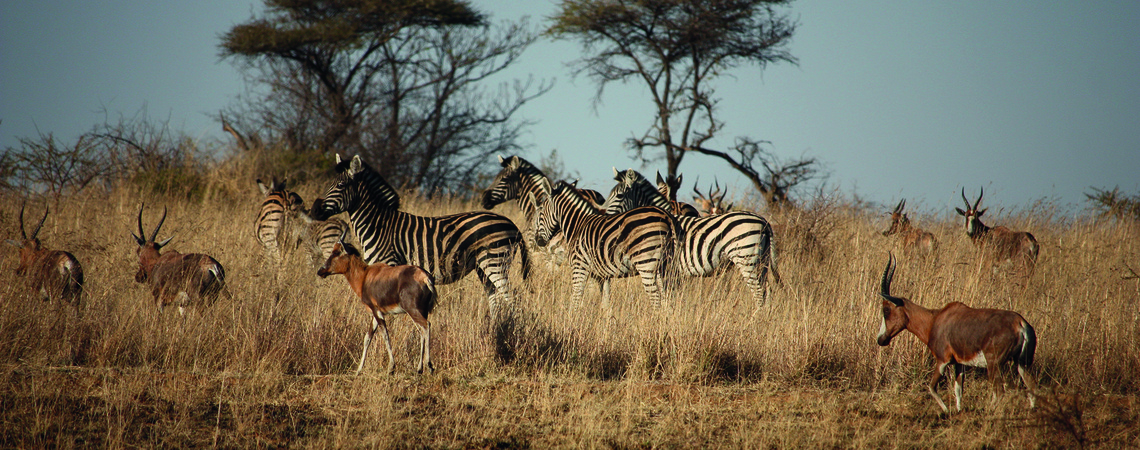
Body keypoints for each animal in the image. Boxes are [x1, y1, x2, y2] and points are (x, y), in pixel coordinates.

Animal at [316, 154, 529, 315]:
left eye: (340, 186)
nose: (316, 210)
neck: (378, 224)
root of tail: (511, 223)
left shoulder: (390, 263)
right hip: (483, 266)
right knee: (495, 298)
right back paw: (495, 329)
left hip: (495, 260)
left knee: (512, 297)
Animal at [531, 176, 679, 309]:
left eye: (541, 213)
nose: (538, 241)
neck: (577, 225)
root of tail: (666, 215)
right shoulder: (603, 275)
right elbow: (605, 303)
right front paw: (606, 321)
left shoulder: (579, 266)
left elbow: (576, 299)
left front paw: (572, 320)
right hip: (665, 265)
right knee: (667, 296)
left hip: (645, 263)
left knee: (655, 298)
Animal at [604, 168, 781, 305]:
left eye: (619, 196)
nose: (603, 215)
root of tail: (764, 221)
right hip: (761, 261)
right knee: (768, 291)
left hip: (746, 258)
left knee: (759, 293)